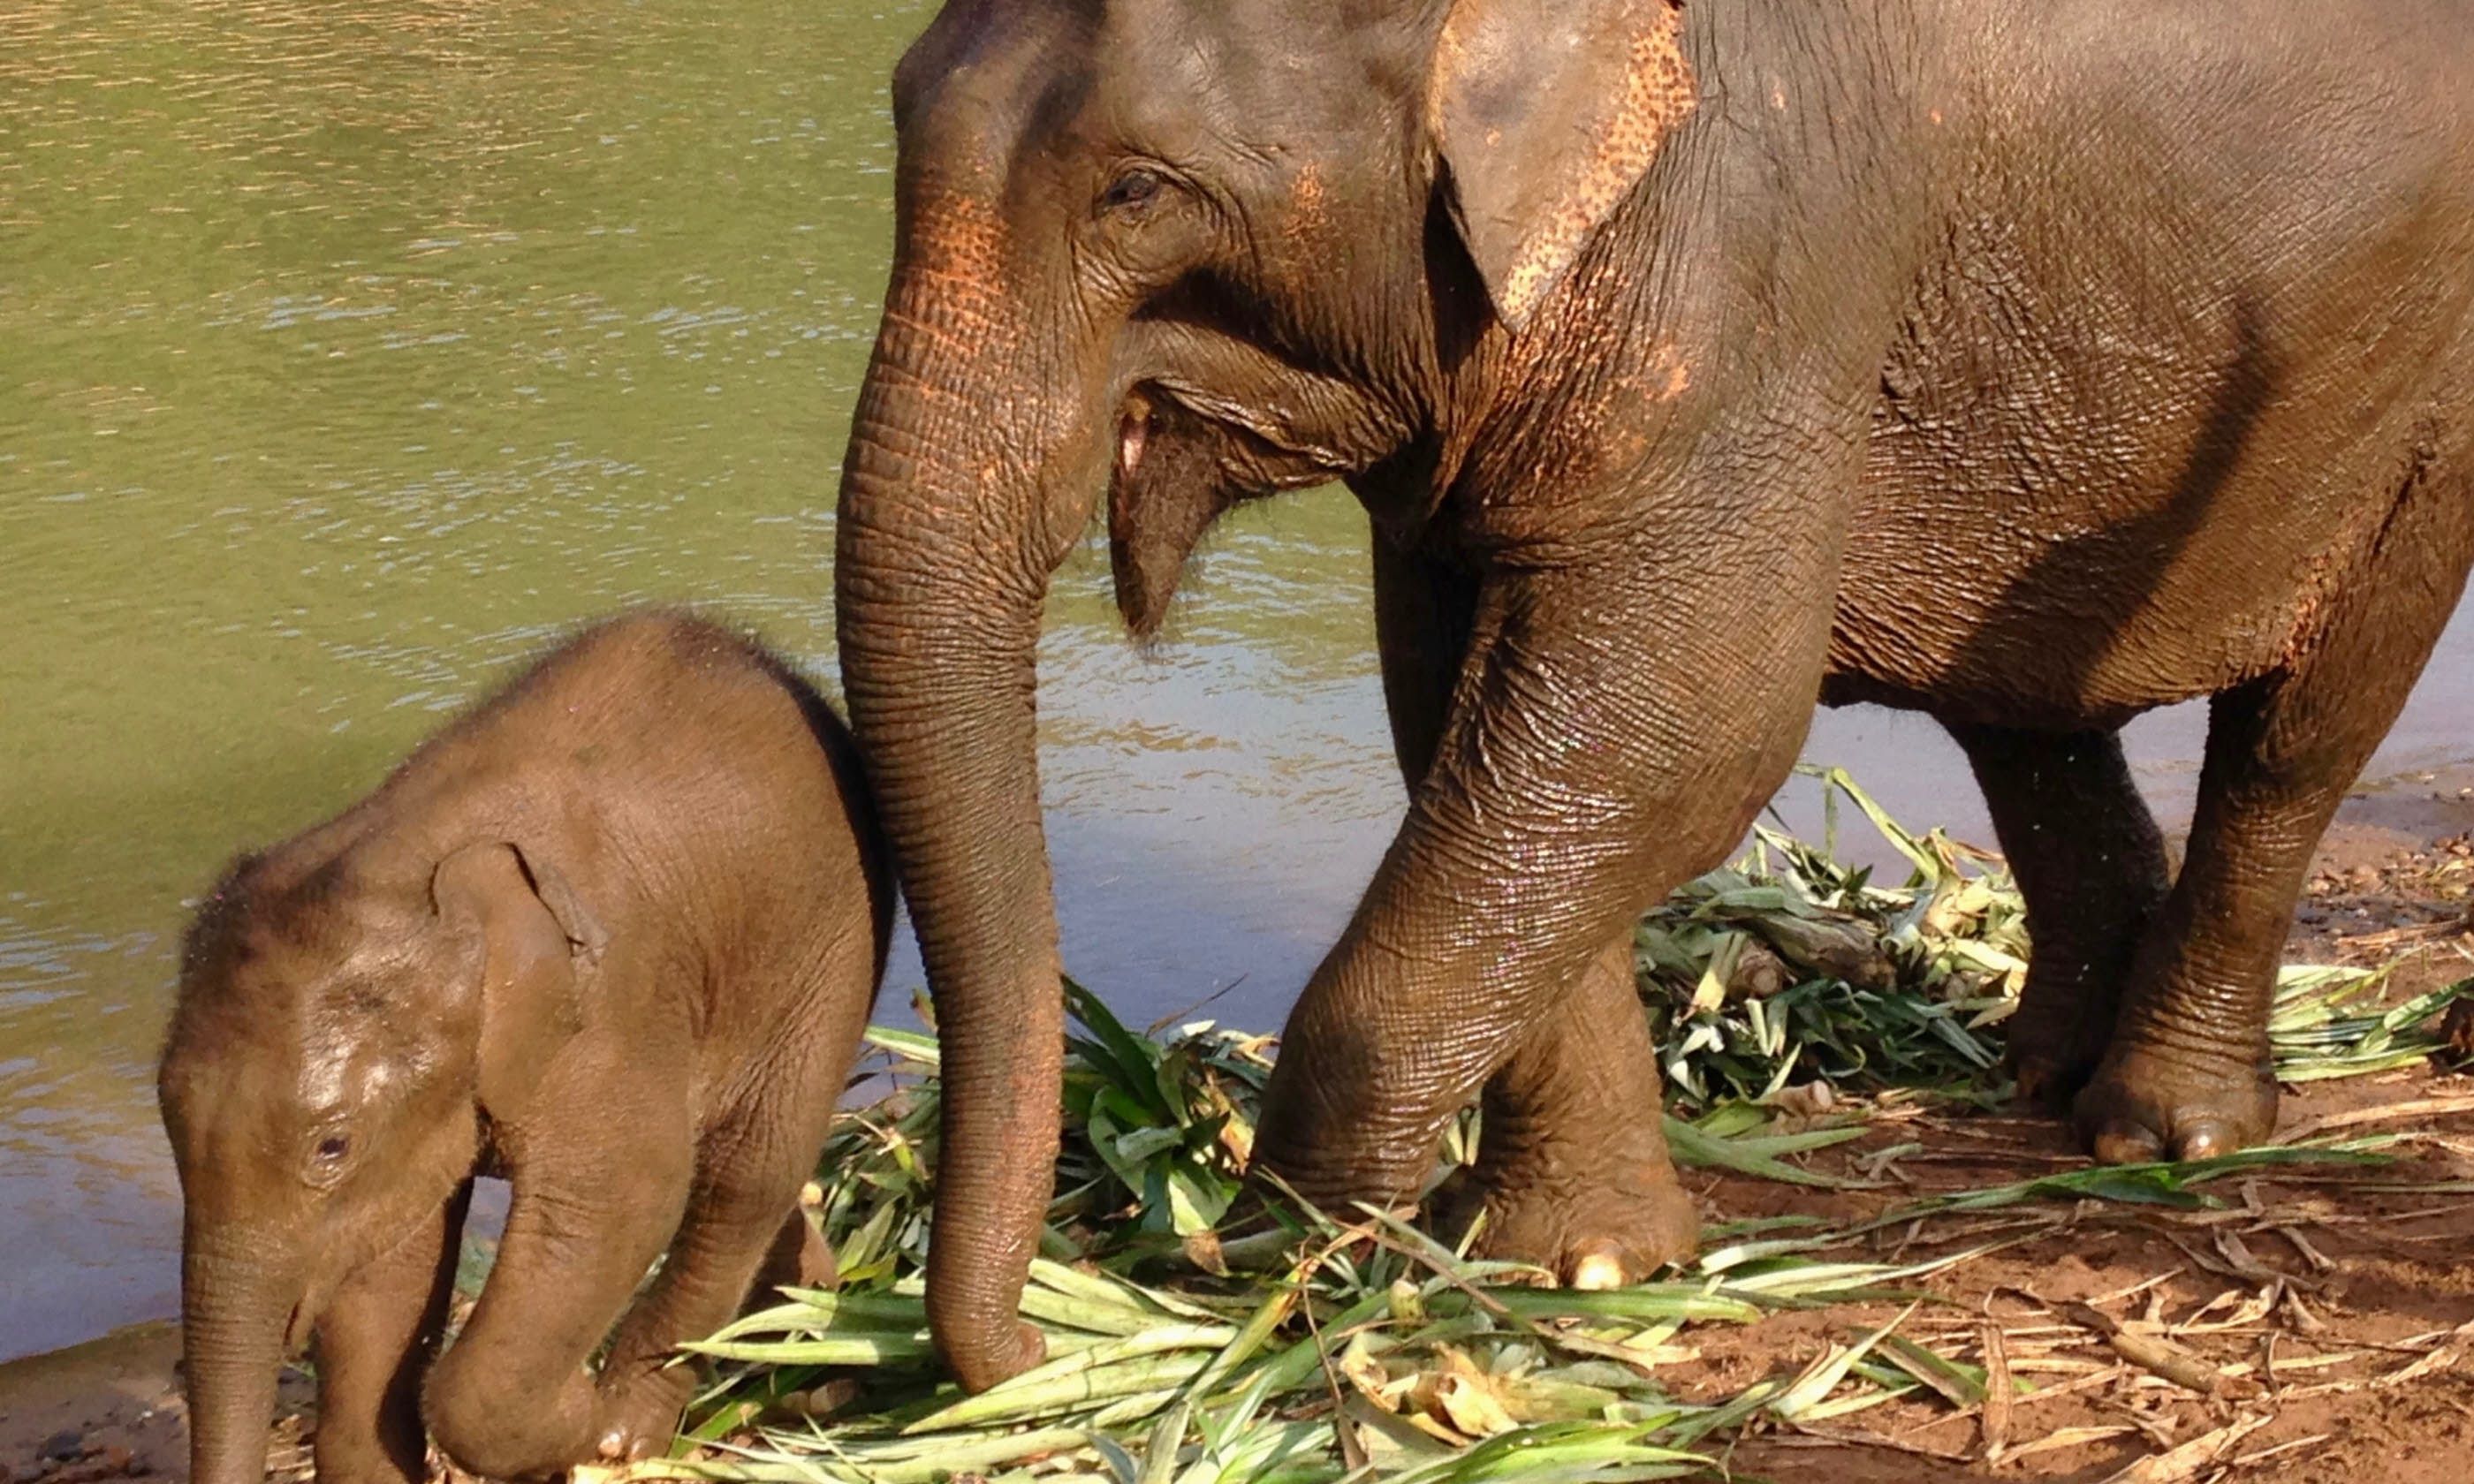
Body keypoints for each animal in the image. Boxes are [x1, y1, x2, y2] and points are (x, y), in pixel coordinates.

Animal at [157, 612, 892, 1484]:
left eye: (331, 1146)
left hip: (830, 949)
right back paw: (807, 1332)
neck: (410, 863)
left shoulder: (611, 1012)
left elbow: (626, 1194)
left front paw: (582, 1425)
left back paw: (640, 1432)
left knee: (747, 1173)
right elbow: (391, 1259)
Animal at [830, 0, 2474, 1391]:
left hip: (2421, 395)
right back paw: (2046, 1076)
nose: (1034, 1351)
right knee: (2029, 722)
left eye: (1135, 193)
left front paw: (1278, 1253)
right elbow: (1470, 719)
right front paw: (1581, 1264)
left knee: (2298, 739)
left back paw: (2166, 1123)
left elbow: (1680, 721)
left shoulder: (1746, 263)